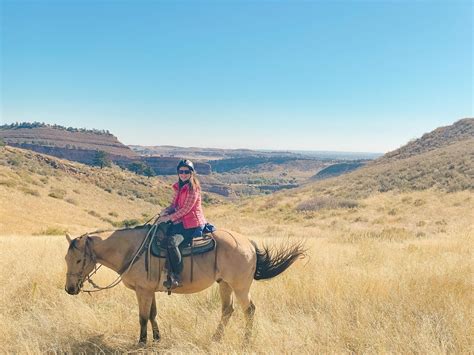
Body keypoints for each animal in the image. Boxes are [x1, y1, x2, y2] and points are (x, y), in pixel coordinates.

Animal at [65, 227, 306, 346]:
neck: (133, 250)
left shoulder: (143, 291)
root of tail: (248, 243)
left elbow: (142, 317)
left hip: (240, 288)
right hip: (225, 285)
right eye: (66, 259)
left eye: (79, 260)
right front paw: (157, 338)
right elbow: (152, 314)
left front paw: (141, 342)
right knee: (227, 310)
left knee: (249, 311)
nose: (69, 289)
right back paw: (216, 338)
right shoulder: (150, 291)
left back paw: (246, 342)